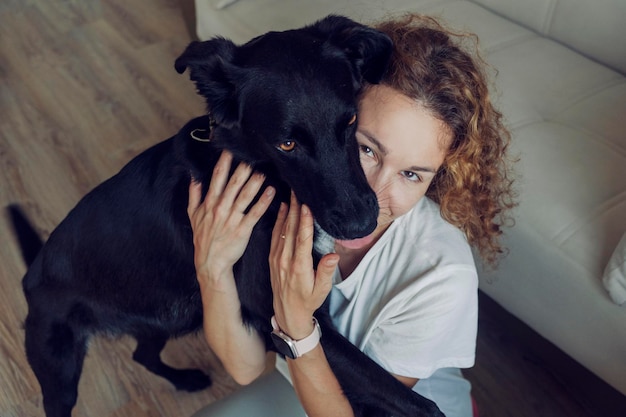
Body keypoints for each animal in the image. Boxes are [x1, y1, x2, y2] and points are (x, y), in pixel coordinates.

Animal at [7, 15, 442, 416]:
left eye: (351, 121)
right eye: (286, 144)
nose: (361, 225)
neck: (264, 174)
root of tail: (34, 269)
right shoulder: (276, 311)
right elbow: (418, 403)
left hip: (167, 318)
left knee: (142, 354)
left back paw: (184, 380)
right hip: (59, 363)